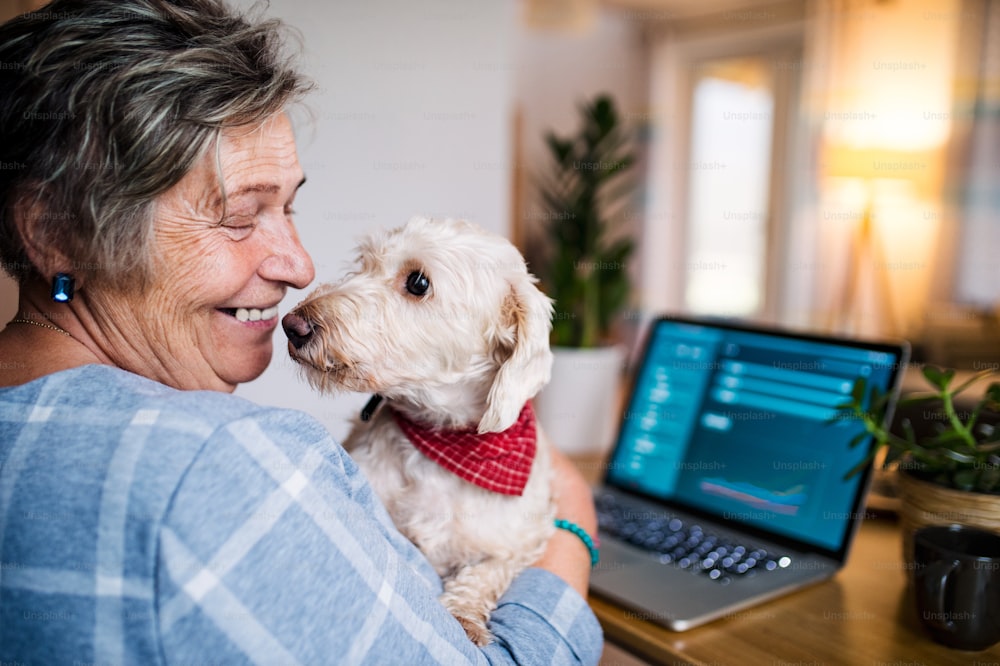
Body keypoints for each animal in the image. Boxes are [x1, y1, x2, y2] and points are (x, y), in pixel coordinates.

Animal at [286, 215, 560, 640]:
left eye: (418, 282)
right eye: (363, 263)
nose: (291, 325)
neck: (442, 445)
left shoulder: (522, 540)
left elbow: (488, 571)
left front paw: (463, 614)